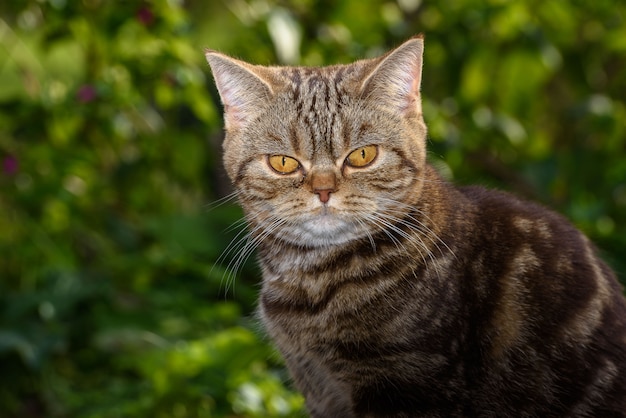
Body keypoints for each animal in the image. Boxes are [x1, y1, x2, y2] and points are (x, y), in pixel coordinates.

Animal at [206, 36, 624, 418]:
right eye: (283, 163)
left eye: (362, 155)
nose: (323, 189)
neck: (312, 286)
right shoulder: (319, 387)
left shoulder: (407, 384)